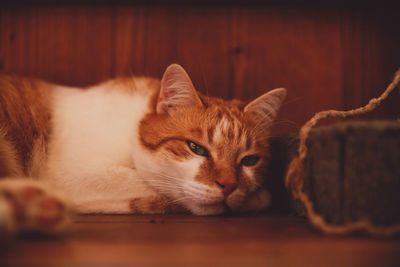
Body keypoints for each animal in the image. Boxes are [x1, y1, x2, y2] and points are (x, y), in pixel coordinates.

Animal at [0, 63, 284, 236]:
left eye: (249, 161)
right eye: (196, 148)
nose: (229, 186)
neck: (130, 127)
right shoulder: (72, 175)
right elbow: (161, 190)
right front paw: (256, 198)